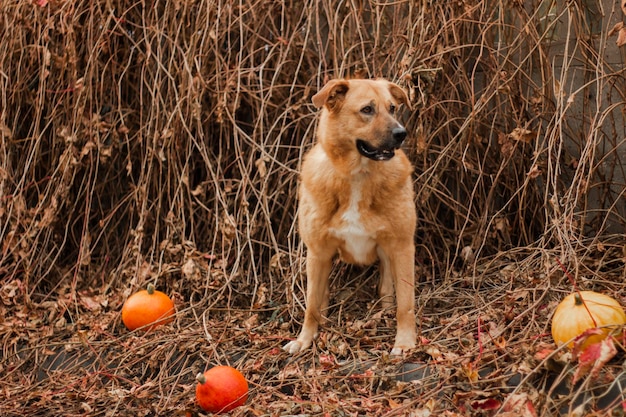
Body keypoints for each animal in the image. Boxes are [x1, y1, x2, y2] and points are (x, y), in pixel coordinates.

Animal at [286, 78, 416, 354]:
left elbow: (406, 304)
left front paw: (405, 342)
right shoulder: (318, 252)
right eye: (367, 109)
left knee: (387, 291)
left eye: (392, 107)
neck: (358, 175)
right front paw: (305, 340)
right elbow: (311, 305)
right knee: (321, 298)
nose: (402, 133)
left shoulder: (402, 247)